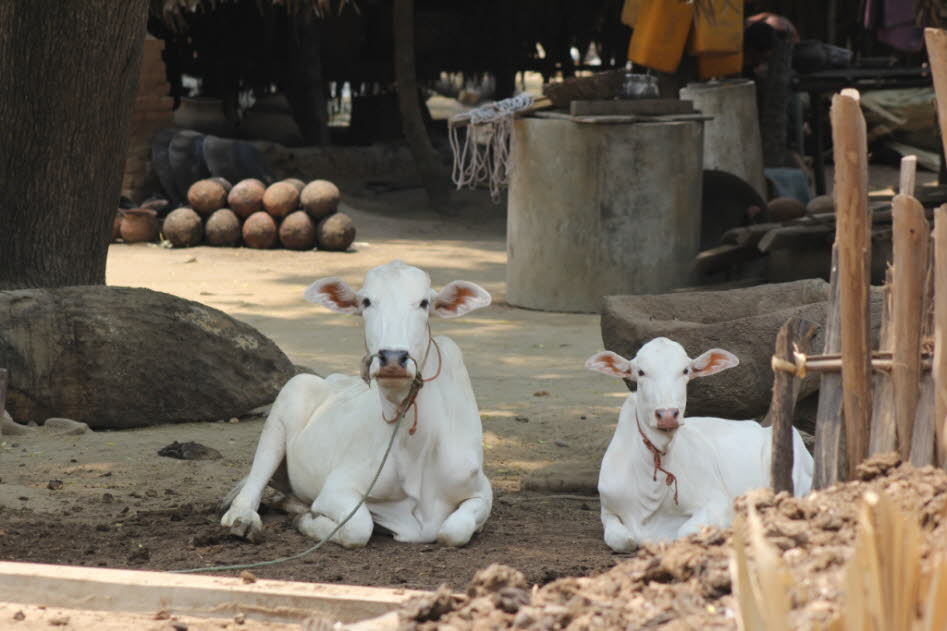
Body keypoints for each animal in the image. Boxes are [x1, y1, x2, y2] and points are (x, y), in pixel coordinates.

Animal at [218, 260, 492, 548]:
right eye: (367, 301)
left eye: (424, 302)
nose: (392, 358)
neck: (415, 449)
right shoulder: (337, 488)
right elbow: (358, 529)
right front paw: (307, 521)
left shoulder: (481, 490)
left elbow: (455, 531)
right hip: (287, 401)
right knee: (255, 480)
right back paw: (243, 519)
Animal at [584, 338, 816, 552]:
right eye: (640, 372)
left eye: (685, 370)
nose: (667, 415)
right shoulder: (607, 509)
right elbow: (622, 540)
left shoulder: (717, 502)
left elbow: (684, 532)